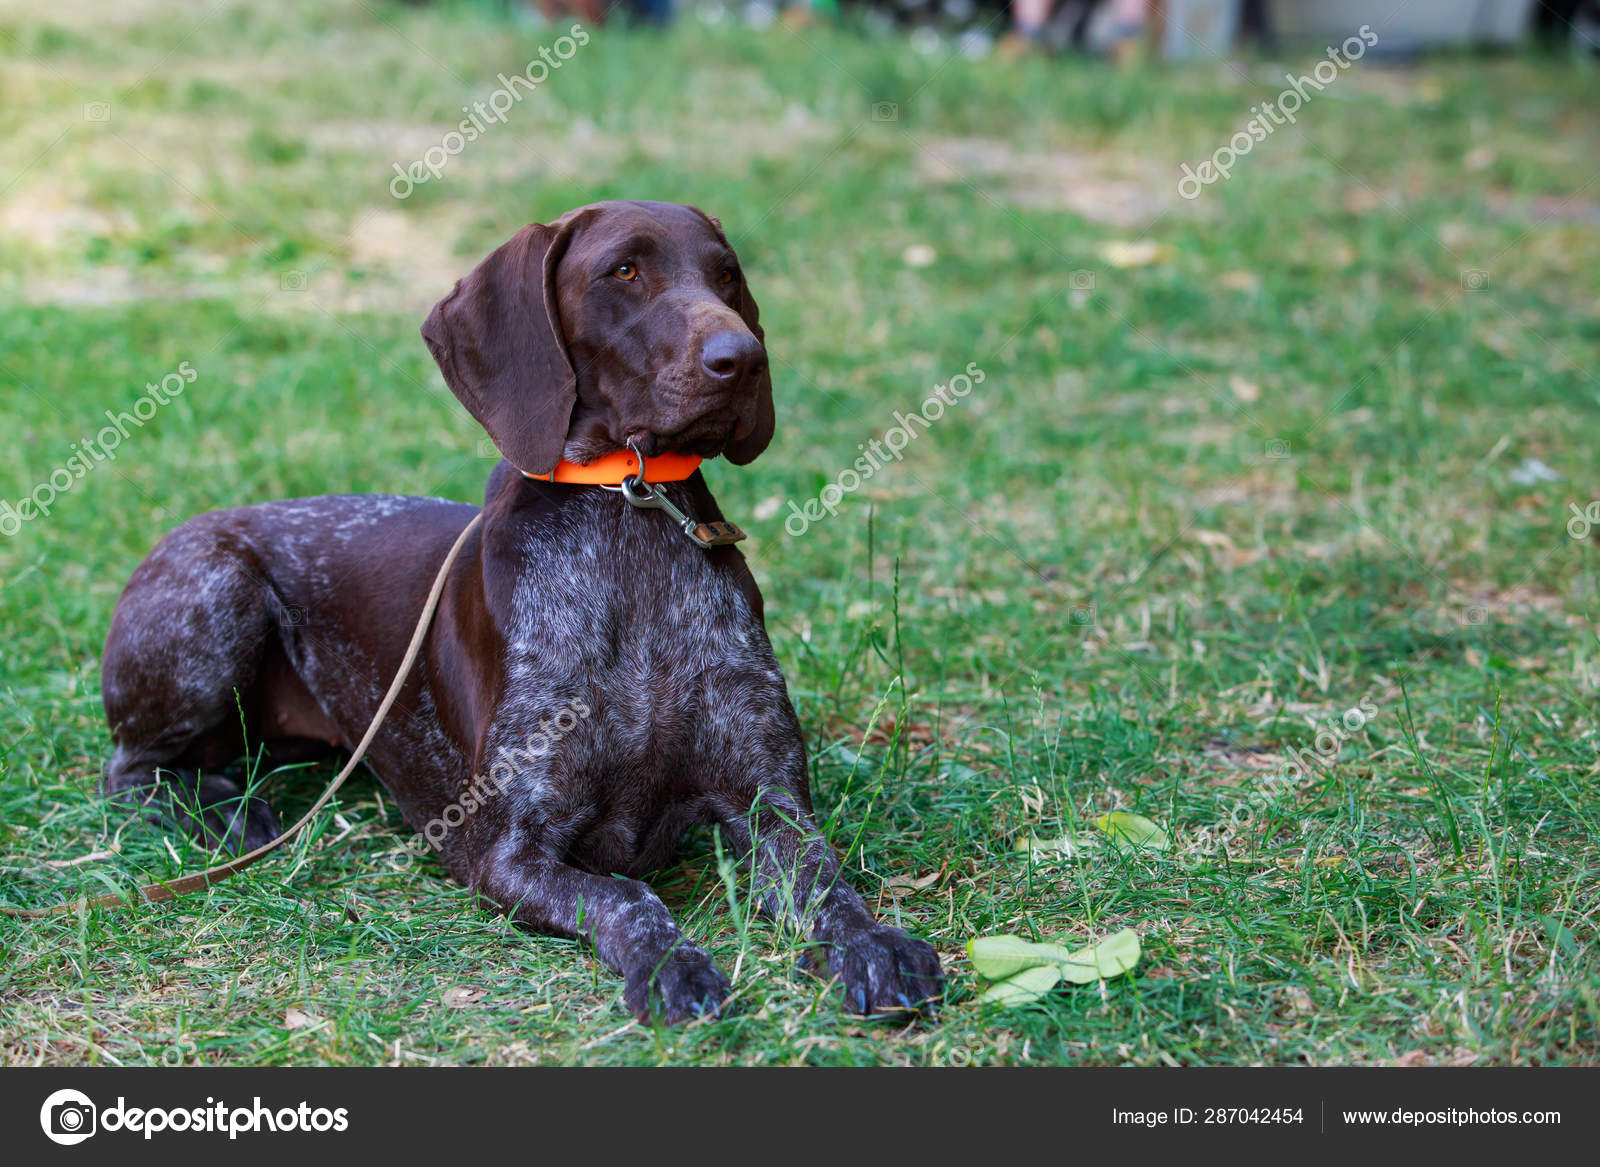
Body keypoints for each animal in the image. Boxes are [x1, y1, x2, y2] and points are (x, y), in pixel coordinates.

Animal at [99, 200, 944, 1023]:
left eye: (726, 274)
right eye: (624, 271)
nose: (743, 357)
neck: (628, 518)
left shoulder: (771, 802)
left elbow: (826, 881)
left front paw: (875, 943)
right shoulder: (506, 850)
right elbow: (629, 896)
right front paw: (669, 964)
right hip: (217, 590)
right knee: (128, 769)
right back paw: (222, 813)